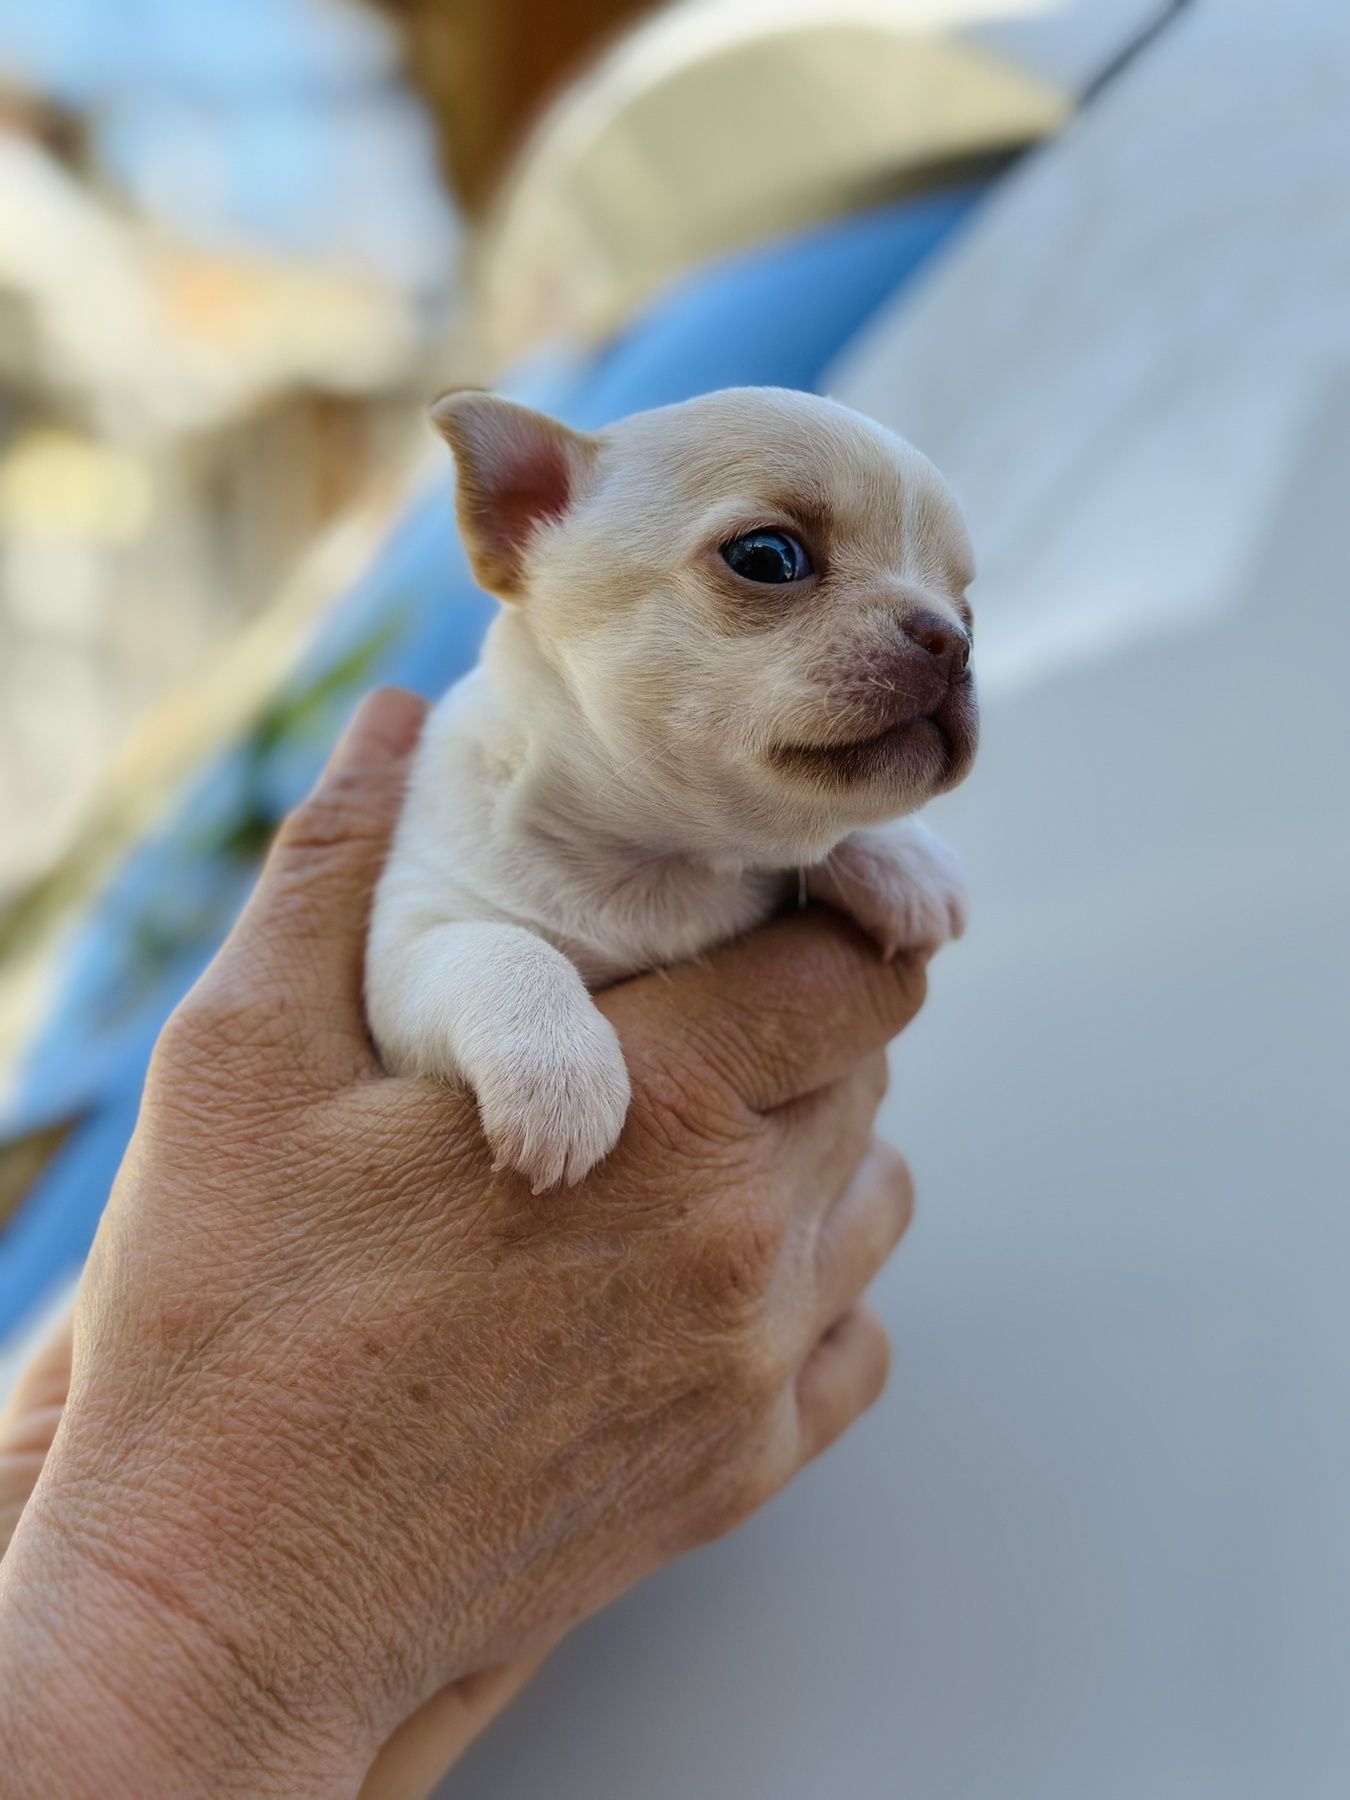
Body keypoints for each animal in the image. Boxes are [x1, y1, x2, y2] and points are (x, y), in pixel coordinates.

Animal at [367, 387, 986, 1188]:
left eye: (970, 613)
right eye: (767, 557)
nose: (955, 641)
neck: (664, 859)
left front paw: (906, 861)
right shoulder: (408, 944)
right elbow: (498, 948)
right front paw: (558, 1075)